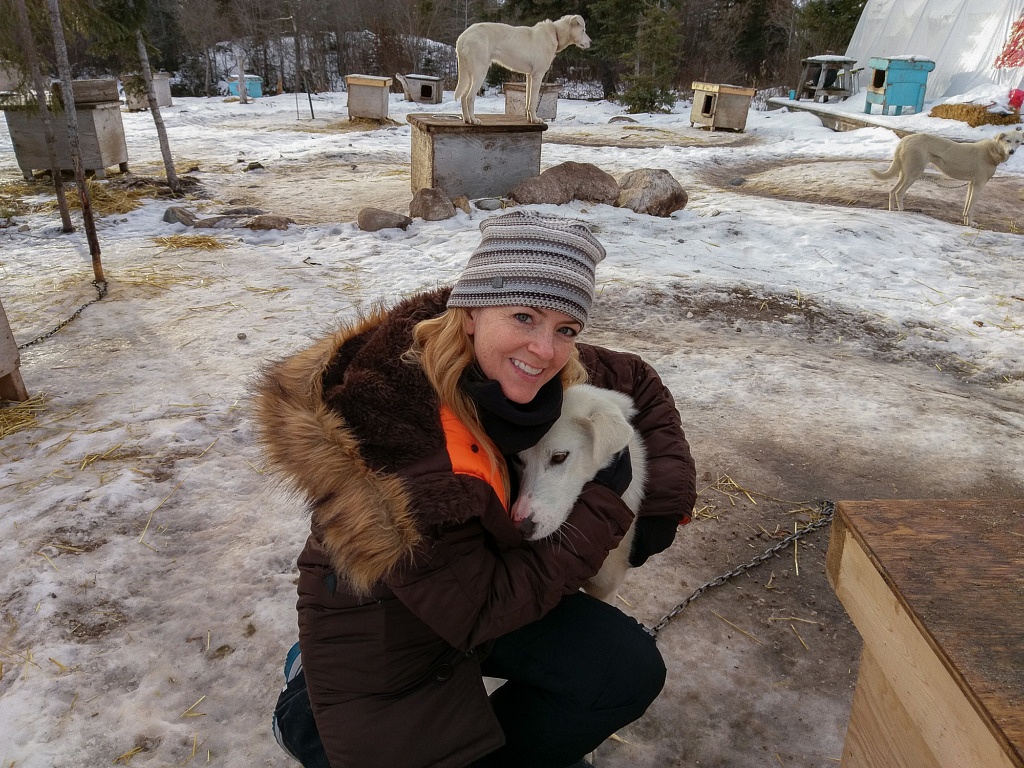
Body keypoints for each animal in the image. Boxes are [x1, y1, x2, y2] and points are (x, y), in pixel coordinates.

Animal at [456, 14, 593, 126]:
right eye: (583, 30)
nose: (591, 42)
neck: (555, 33)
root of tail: (463, 36)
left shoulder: (529, 76)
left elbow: (528, 101)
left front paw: (530, 119)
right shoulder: (538, 75)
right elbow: (534, 101)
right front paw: (536, 119)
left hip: (470, 74)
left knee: (463, 96)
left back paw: (467, 119)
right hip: (480, 72)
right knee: (469, 97)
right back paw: (474, 120)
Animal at [872, 128, 1024, 225]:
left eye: (1017, 141)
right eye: (1008, 140)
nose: (1011, 151)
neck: (992, 151)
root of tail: (905, 139)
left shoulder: (971, 184)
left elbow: (966, 207)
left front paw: (965, 222)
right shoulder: (979, 185)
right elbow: (971, 208)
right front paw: (971, 224)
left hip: (905, 174)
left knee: (892, 191)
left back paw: (892, 212)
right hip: (914, 174)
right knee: (899, 192)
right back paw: (902, 212)